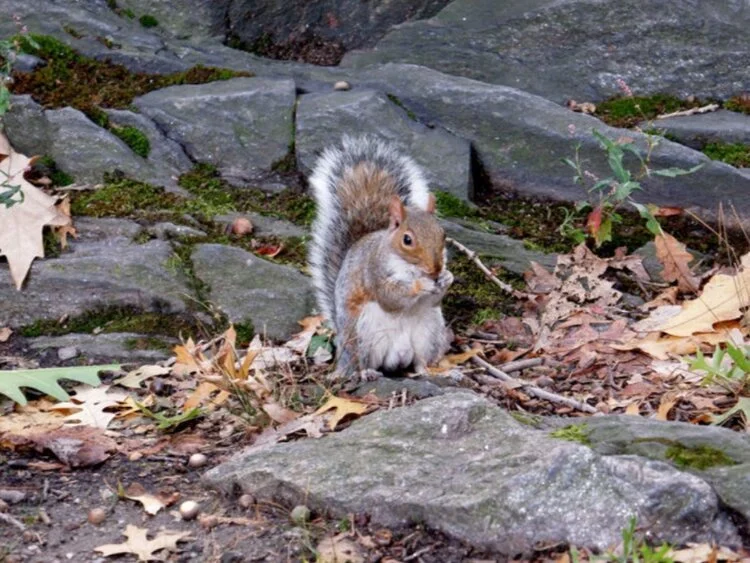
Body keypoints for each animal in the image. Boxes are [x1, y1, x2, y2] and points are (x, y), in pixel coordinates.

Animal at [308, 136, 454, 378]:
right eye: (407, 240)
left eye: (443, 234)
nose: (435, 269)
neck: (410, 267)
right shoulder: (374, 271)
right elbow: (390, 297)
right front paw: (420, 285)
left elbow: (435, 299)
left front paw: (447, 277)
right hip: (364, 333)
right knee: (364, 362)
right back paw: (366, 372)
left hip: (429, 332)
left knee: (420, 361)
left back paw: (433, 372)